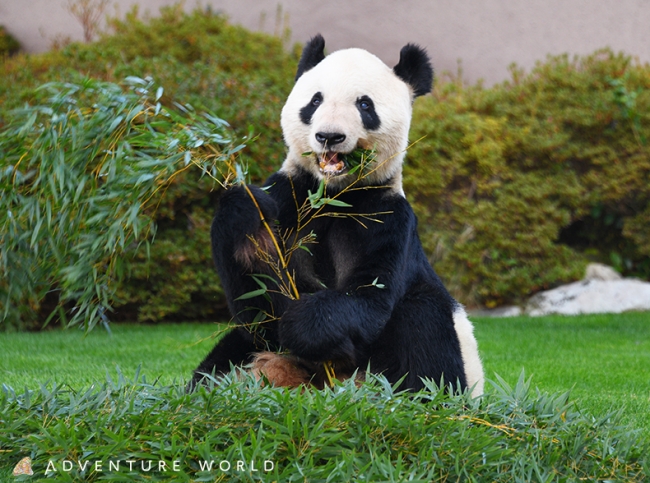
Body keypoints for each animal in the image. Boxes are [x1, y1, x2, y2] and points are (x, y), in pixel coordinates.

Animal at [187, 34, 480, 398]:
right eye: (315, 100)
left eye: (365, 105)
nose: (330, 136)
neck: (332, 195)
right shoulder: (291, 196)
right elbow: (256, 306)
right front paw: (245, 208)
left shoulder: (385, 217)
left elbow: (368, 295)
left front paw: (305, 325)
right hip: (241, 357)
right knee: (222, 363)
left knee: (425, 328)